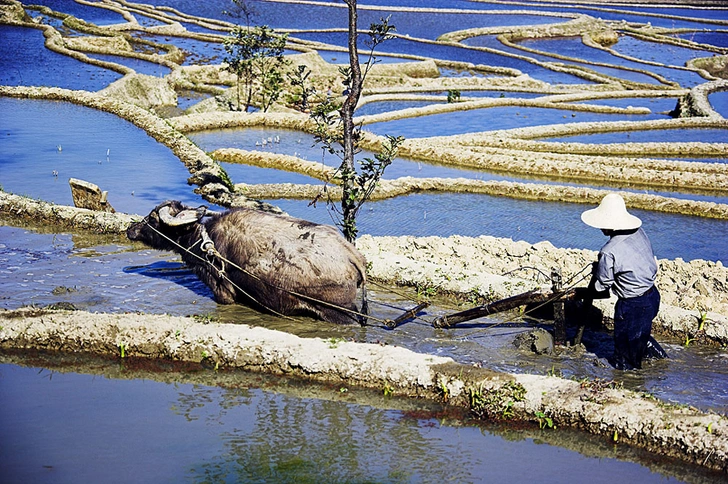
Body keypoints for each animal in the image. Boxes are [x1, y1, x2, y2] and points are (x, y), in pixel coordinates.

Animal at [126, 200, 370, 326]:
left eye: (152, 218)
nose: (131, 229)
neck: (206, 239)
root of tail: (353, 256)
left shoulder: (223, 293)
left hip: (340, 312)